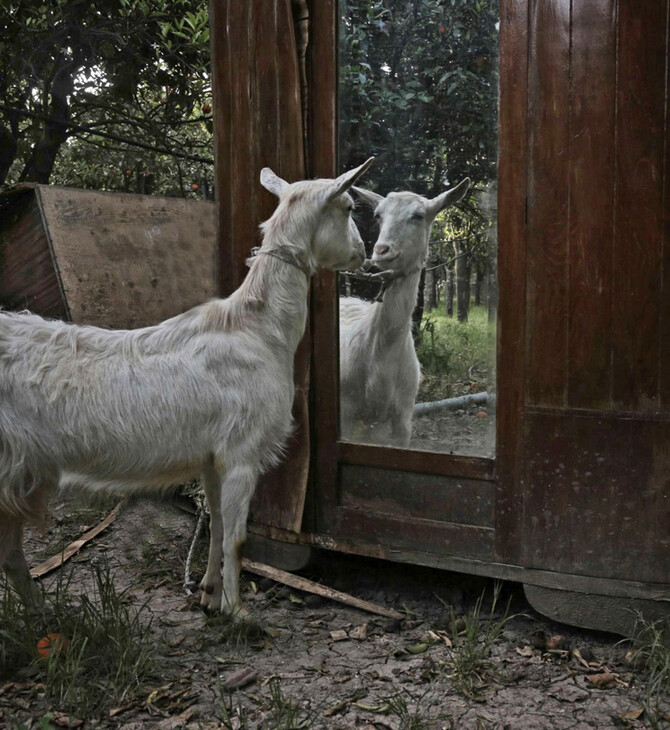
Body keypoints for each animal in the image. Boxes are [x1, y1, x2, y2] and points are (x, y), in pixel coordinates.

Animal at [0, 159, 372, 616]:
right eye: (349, 206)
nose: (363, 253)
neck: (258, 329)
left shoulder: (212, 457)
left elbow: (217, 526)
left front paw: (209, 594)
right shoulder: (242, 451)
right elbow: (237, 538)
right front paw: (237, 611)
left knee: (11, 556)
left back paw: (43, 615)